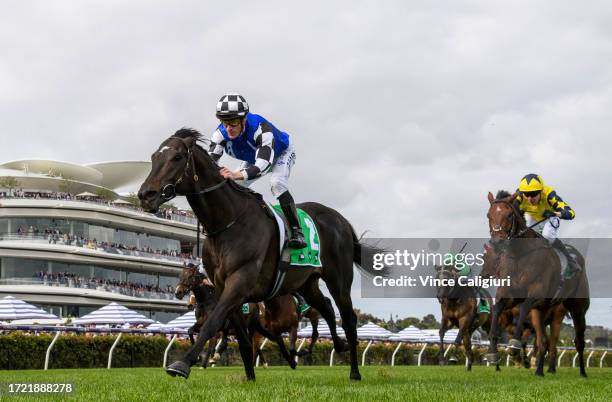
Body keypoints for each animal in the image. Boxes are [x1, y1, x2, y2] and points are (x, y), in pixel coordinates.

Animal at [139, 129, 380, 380]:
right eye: (154, 157)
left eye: (177, 157)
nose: (146, 194)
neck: (227, 222)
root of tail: (341, 220)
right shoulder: (226, 288)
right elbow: (243, 340)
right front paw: (250, 378)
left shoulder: (240, 280)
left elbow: (213, 323)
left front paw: (183, 364)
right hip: (305, 283)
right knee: (325, 307)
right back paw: (338, 345)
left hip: (338, 279)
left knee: (348, 318)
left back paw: (354, 371)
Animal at [486, 190, 592, 376]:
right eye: (488, 215)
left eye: (509, 215)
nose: (498, 242)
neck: (519, 257)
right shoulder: (509, 295)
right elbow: (497, 309)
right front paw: (493, 351)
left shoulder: (537, 294)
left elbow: (524, 309)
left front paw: (514, 344)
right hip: (542, 312)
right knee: (544, 342)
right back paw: (540, 371)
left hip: (576, 309)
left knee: (578, 341)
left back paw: (582, 373)